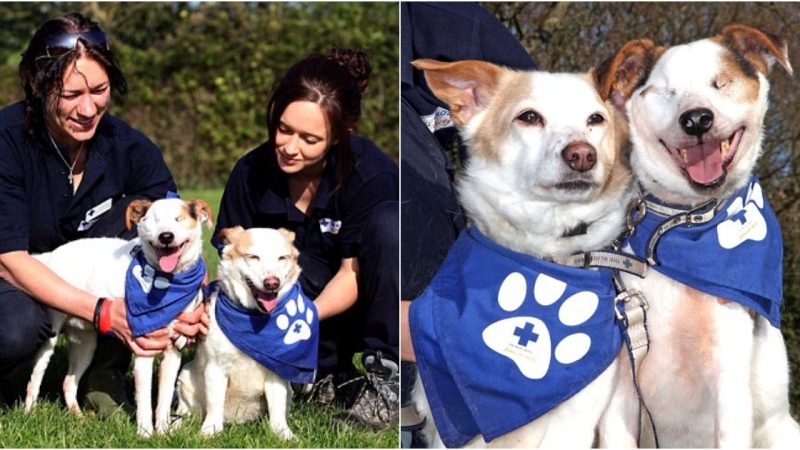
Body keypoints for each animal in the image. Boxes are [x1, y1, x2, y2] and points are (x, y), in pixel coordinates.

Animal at [23, 197, 212, 436]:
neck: (168, 282)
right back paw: (29, 412)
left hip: (86, 343)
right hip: (50, 337)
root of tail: (51, 255)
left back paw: (78, 417)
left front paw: (163, 432)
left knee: (69, 382)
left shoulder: (173, 353)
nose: (166, 236)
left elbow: (164, 400)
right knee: (35, 379)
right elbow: (144, 401)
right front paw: (145, 434)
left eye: (179, 219)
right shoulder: (143, 351)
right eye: (153, 219)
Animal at [173, 225, 318, 440]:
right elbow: (214, 404)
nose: (272, 283)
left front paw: (283, 434)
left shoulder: (277, 373)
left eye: (282, 258)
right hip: (185, 378)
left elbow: (277, 410)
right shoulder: (216, 368)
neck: (253, 317)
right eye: (253, 256)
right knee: (187, 411)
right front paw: (211, 430)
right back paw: (176, 424)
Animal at [600, 26, 800, 448]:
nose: (696, 120)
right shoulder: (623, 389)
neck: (683, 221)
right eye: (663, 91)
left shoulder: (729, 379)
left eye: (721, 82)